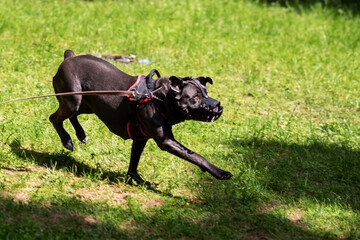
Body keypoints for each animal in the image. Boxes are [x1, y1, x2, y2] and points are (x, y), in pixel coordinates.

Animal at [49, 49, 232, 184]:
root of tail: (69, 57)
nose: (218, 106)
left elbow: (134, 161)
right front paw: (220, 172)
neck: (159, 98)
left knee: (71, 116)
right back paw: (67, 140)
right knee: (54, 118)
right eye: (195, 98)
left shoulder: (140, 139)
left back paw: (81, 134)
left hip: (86, 104)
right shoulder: (166, 141)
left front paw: (135, 178)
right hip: (73, 100)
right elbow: (196, 156)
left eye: (206, 92)